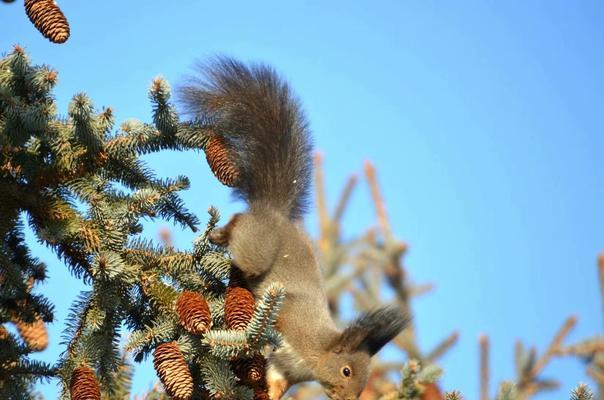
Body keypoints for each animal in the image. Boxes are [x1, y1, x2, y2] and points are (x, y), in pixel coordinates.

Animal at [177, 57, 408, 400]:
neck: (316, 350)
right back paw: (220, 234)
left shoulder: (287, 369)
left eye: (364, 381)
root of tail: (273, 212)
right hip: (256, 248)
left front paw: (268, 394)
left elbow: (275, 381)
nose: (348, 398)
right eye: (346, 371)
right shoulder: (291, 319)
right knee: (238, 225)